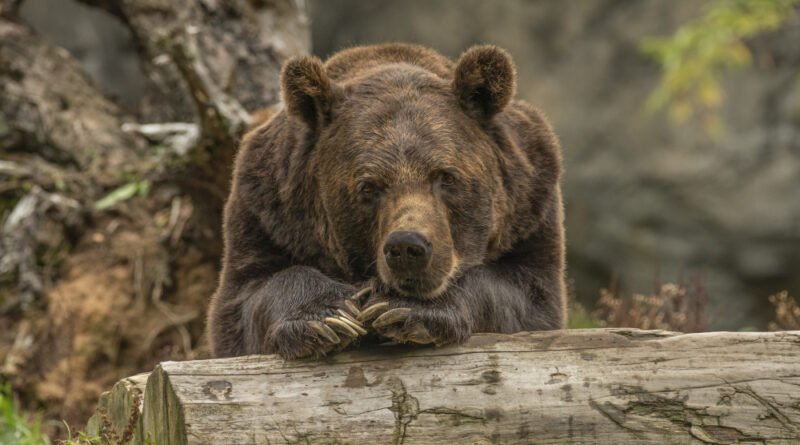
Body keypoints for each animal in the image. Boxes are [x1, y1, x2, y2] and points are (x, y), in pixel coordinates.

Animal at [208, 43, 566, 359]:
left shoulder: (530, 207)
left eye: (446, 176)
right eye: (368, 186)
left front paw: (403, 308)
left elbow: (526, 296)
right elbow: (247, 298)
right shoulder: (267, 212)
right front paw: (328, 317)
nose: (408, 247)